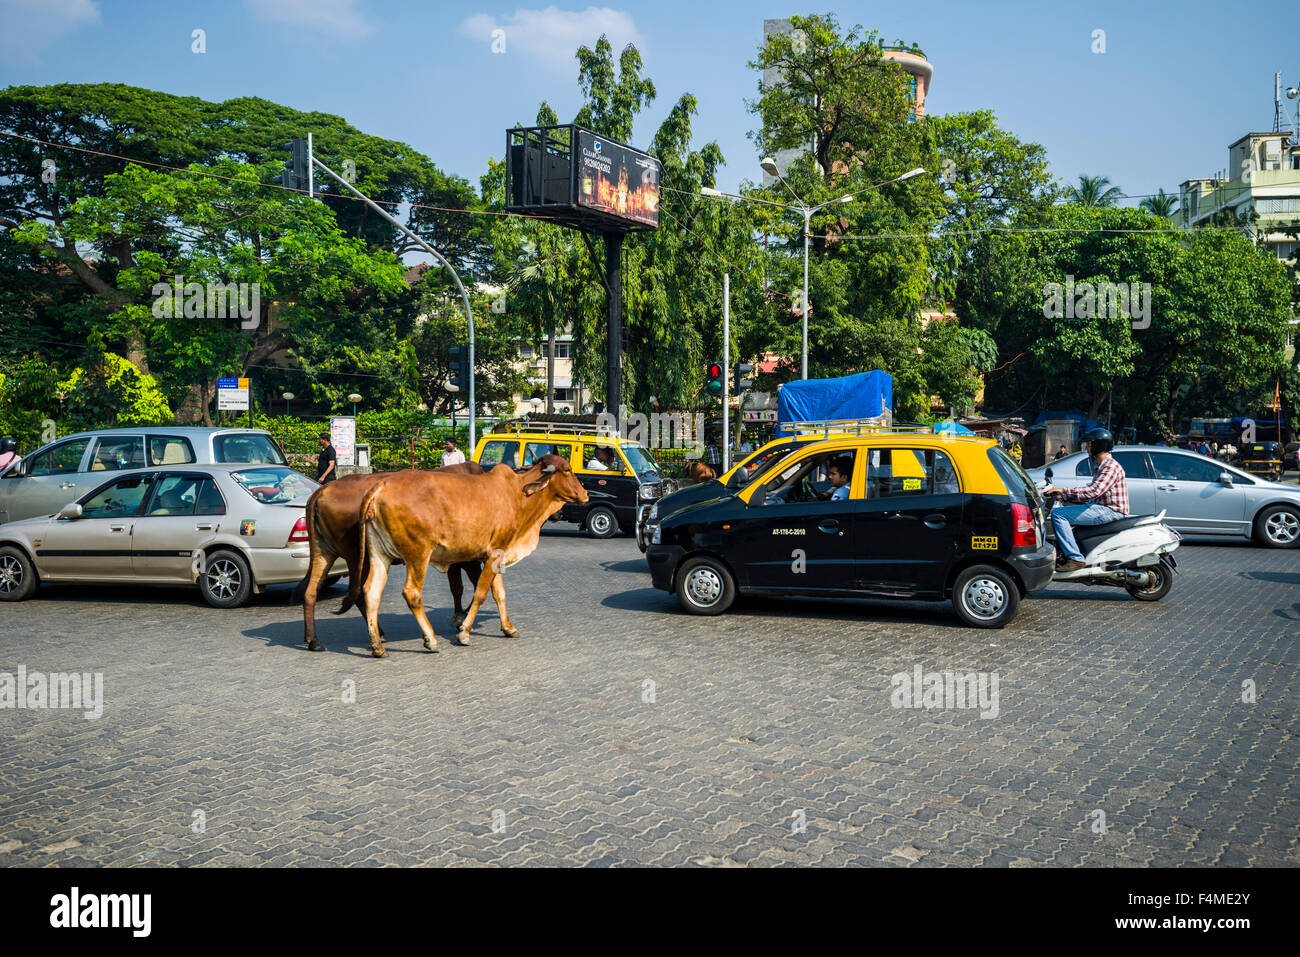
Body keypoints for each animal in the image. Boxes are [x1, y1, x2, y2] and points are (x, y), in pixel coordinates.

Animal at [295, 462, 488, 655]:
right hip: (356, 557)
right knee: (358, 594)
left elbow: (458, 587)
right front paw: (462, 619)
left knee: (311, 591)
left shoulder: (456, 560)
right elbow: (473, 585)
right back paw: (378, 634)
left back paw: (314, 640)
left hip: (324, 553)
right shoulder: (468, 559)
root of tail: (323, 490)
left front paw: (460, 617)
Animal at [351, 455, 585, 657]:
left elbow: (499, 593)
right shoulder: (493, 554)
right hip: (418, 555)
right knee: (412, 593)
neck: (518, 494)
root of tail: (382, 485)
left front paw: (508, 628)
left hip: (380, 554)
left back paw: (377, 645)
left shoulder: (496, 554)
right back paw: (430, 639)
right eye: (567, 470)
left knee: (371, 591)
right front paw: (464, 632)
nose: (585, 494)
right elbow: (480, 593)